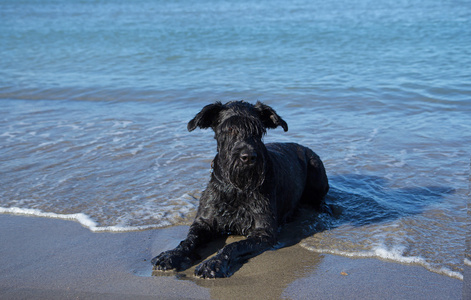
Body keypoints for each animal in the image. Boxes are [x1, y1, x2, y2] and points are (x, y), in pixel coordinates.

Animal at [151, 101, 328, 278]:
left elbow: (233, 246)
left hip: (316, 173)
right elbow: (189, 240)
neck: (234, 189)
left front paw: (213, 263)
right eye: (229, 129)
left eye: (258, 131)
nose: (248, 157)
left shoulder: (263, 232)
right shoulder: (204, 223)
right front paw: (171, 255)